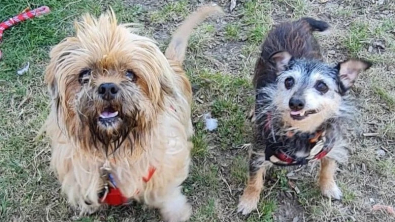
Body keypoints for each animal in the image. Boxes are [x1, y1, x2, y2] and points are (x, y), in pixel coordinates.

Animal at [44, 4, 223, 221]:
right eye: (84, 75)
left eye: (130, 74)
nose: (107, 87)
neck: (113, 151)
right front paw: (88, 205)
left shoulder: (166, 168)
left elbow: (166, 195)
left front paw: (178, 213)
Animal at [238, 17, 374, 215]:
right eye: (288, 81)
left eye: (322, 86)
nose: (295, 102)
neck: (301, 132)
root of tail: (297, 22)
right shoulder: (259, 150)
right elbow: (255, 180)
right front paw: (248, 201)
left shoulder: (330, 141)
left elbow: (328, 166)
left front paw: (329, 187)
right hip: (260, 67)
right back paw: (253, 111)